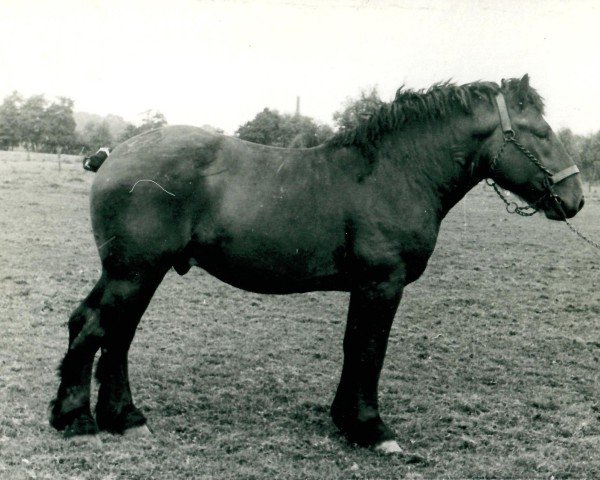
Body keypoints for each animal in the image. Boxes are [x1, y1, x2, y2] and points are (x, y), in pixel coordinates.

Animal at [49, 75, 584, 454]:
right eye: (540, 132)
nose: (575, 199)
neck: (393, 174)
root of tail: (115, 154)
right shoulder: (380, 284)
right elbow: (367, 350)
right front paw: (370, 429)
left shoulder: (369, 287)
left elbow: (356, 348)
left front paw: (348, 421)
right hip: (134, 272)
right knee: (97, 328)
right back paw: (79, 421)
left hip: (136, 273)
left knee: (109, 331)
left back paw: (122, 419)